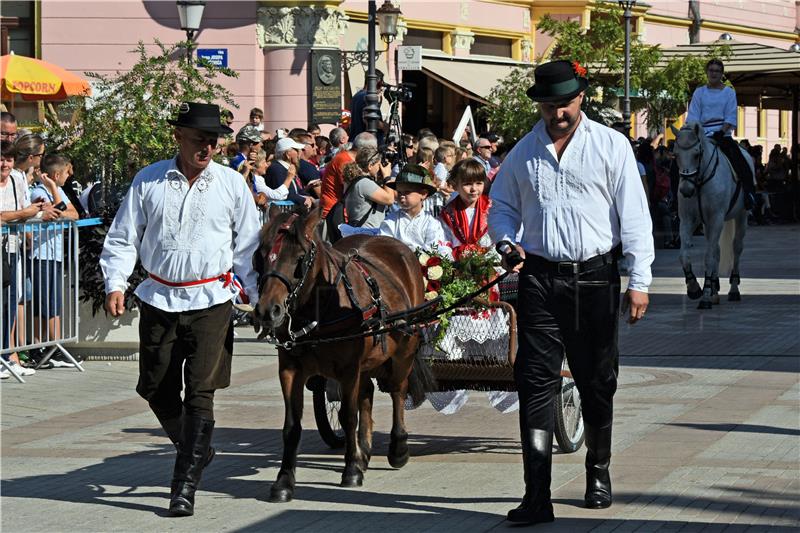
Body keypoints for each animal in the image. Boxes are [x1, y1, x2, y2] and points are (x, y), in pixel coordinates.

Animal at [253, 206, 434, 500]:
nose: (268, 311)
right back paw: (364, 450)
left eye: (300, 258)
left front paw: (351, 470)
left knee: (398, 390)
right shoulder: (289, 369)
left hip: (403, 350)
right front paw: (284, 481)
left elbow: (349, 416)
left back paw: (397, 448)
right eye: (260, 255)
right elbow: (292, 426)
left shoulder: (349, 369)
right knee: (367, 394)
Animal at [672, 121, 752, 310]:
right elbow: (684, 255)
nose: (686, 191)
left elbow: (709, 257)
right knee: (716, 249)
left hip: (741, 216)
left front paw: (705, 297)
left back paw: (733, 290)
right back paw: (715, 290)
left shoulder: (716, 218)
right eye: (676, 155)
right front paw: (695, 288)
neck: (699, 182)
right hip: (708, 224)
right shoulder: (688, 220)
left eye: (696, 154)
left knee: (736, 247)